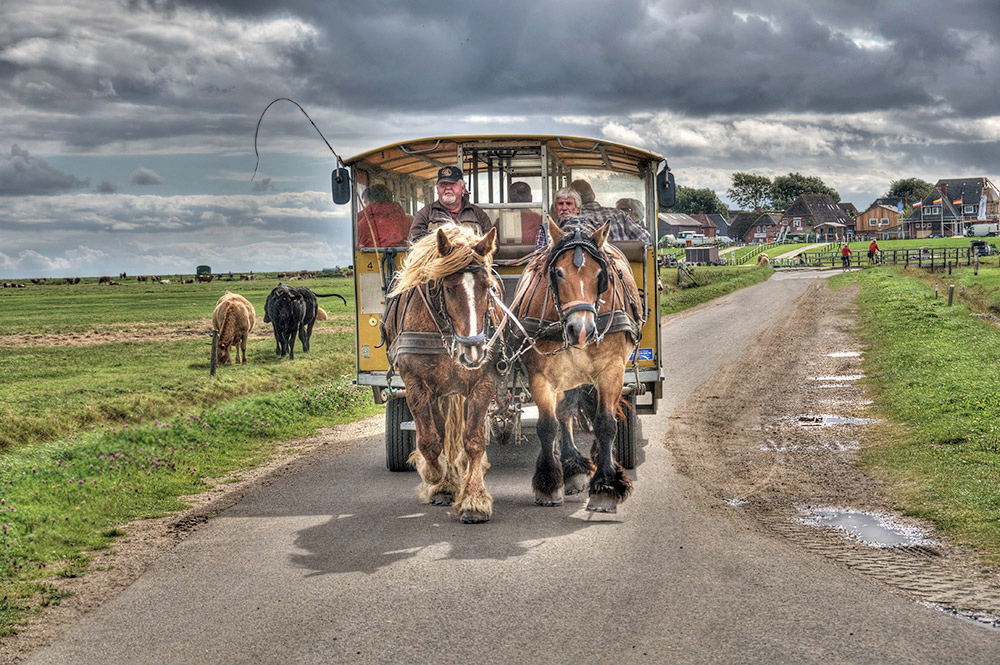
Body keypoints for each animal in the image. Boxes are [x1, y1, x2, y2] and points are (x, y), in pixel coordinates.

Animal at [386, 226, 504, 520]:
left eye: (489, 287)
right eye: (449, 289)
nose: (473, 352)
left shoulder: (484, 381)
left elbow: (473, 441)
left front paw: (474, 498)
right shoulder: (416, 384)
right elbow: (429, 440)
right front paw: (435, 476)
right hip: (438, 391)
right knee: (438, 431)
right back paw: (444, 483)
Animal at [512, 215, 644, 510]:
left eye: (600, 275)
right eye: (558, 273)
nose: (581, 330)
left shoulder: (611, 370)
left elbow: (605, 423)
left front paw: (607, 485)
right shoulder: (540, 374)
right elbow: (547, 425)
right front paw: (549, 482)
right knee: (564, 413)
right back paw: (572, 467)